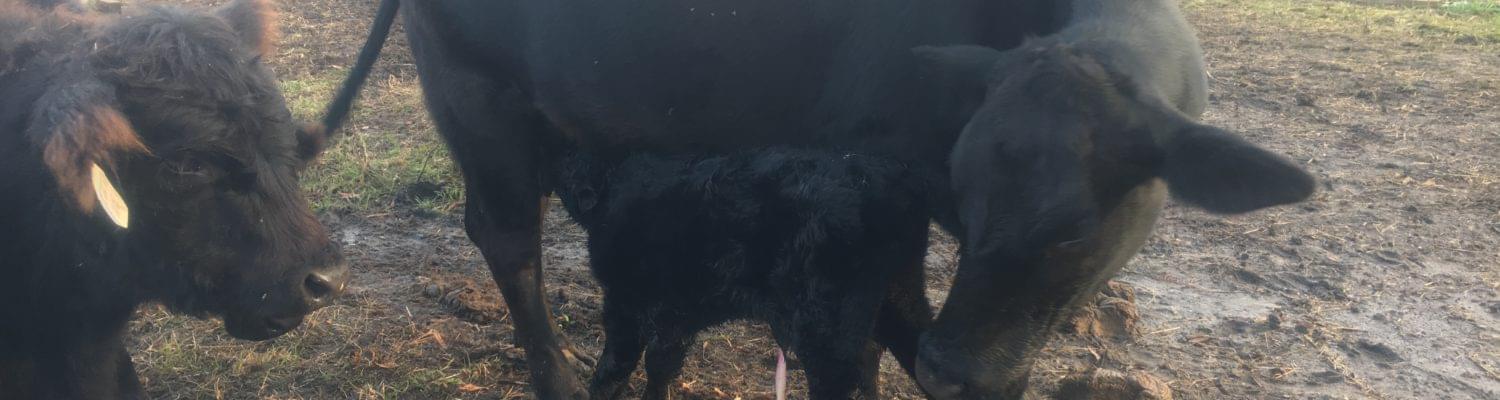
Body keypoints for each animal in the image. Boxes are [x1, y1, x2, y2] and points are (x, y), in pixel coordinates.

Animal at [554, 148, 934, 399]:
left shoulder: (626, 297)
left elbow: (613, 369)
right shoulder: (680, 307)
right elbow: (661, 363)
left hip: (825, 322)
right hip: (899, 295)